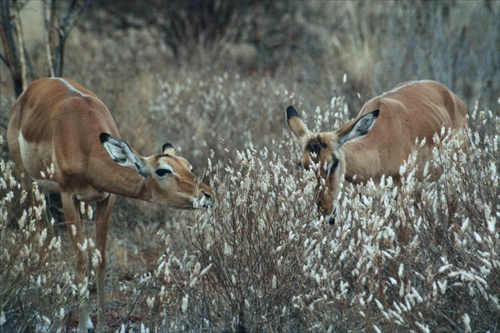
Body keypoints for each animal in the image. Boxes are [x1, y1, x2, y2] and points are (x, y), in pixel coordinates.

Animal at [6, 77, 213, 332]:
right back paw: (47, 315)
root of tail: (30, 89)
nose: (207, 194)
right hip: (30, 184)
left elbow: (100, 258)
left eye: (188, 165)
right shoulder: (67, 196)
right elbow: (80, 258)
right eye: (163, 170)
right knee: (43, 241)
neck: (84, 143)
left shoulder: (106, 198)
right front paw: (82, 325)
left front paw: (100, 325)